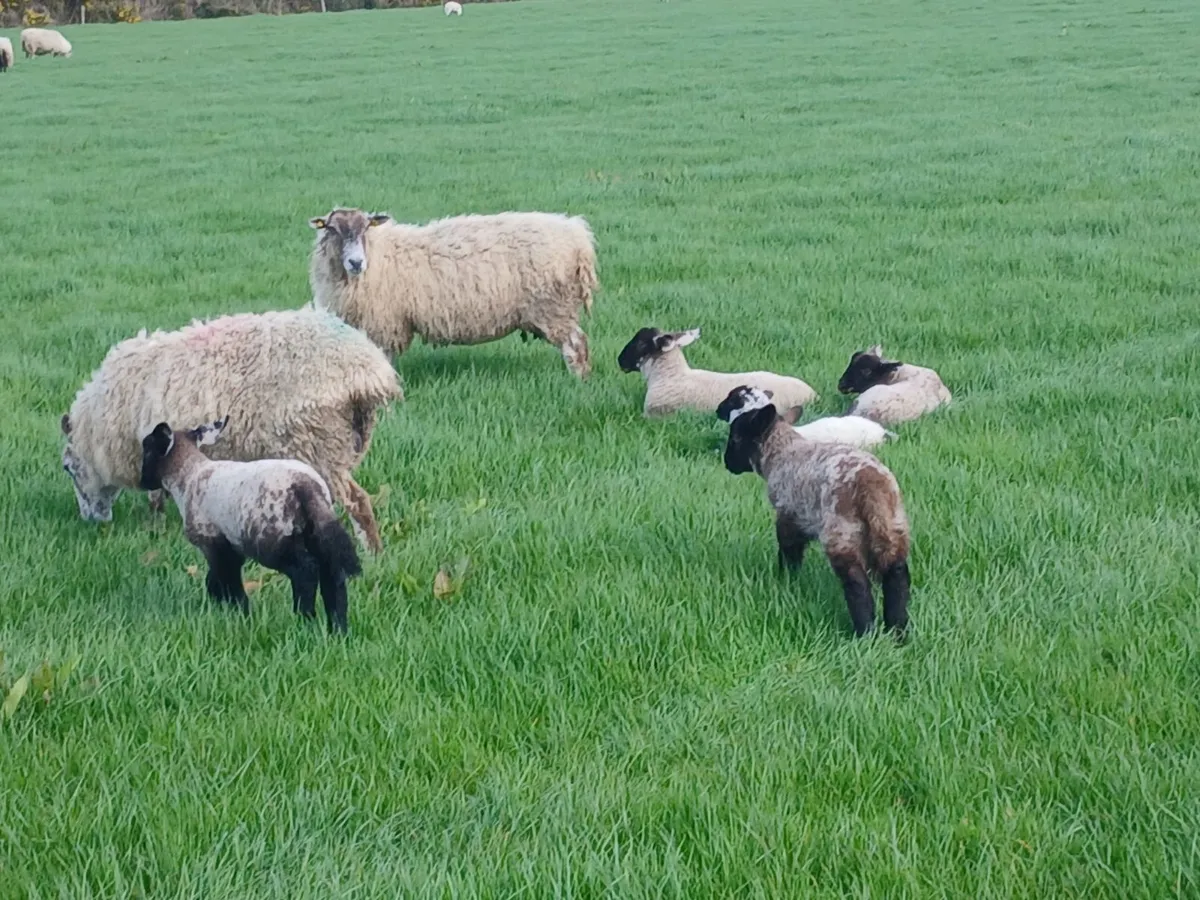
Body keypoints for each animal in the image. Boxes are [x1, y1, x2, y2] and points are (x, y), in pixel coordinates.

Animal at [59, 308, 402, 553]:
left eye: (67, 468)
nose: (92, 521)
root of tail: (368, 371)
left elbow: (155, 496)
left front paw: (153, 527)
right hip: (341, 443)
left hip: (316, 442)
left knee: (357, 502)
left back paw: (373, 553)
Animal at [140, 418, 361, 634]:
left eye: (148, 449)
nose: (142, 482)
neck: (189, 476)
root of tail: (306, 486)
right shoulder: (232, 545)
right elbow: (216, 579)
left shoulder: (212, 541)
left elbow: (227, 579)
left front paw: (240, 612)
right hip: (315, 530)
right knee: (333, 574)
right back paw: (338, 628)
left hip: (272, 537)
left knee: (305, 571)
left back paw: (304, 620)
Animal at [308, 207, 598, 379]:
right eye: (331, 229)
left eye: (366, 227)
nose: (356, 262)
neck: (378, 253)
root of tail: (577, 235)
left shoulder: (385, 324)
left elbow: (385, 360)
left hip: (553, 308)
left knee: (576, 345)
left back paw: (578, 381)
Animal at [719, 385, 911, 638]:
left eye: (735, 438)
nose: (727, 464)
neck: (781, 451)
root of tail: (870, 484)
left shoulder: (788, 515)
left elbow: (789, 553)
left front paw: (786, 581)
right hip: (892, 526)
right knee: (897, 574)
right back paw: (898, 632)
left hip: (841, 532)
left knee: (856, 581)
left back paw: (864, 632)